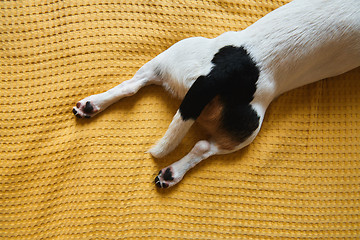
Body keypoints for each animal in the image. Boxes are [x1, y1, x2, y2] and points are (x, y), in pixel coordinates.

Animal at [71, 0, 358, 188]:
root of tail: (222, 72)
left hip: (172, 57)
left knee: (131, 85)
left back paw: (91, 105)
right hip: (250, 128)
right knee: (203, 147)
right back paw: (173, 173)